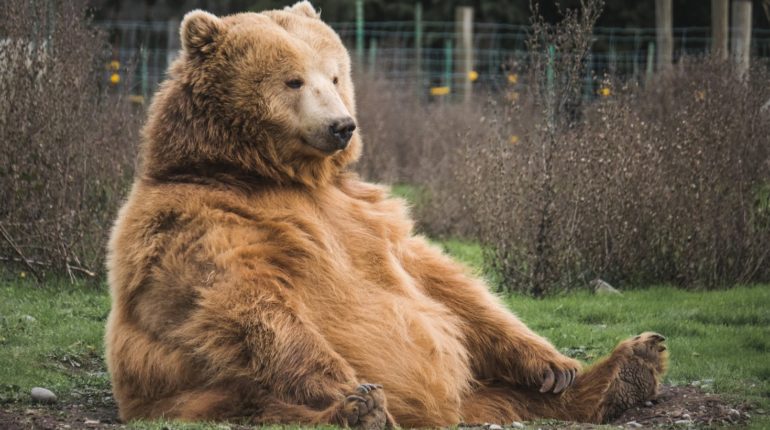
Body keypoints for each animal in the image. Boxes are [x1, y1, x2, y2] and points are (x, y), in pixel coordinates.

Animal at [104, 2, 668, 427]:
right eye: (292, 81)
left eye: (334, 75)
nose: (342, 125)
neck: (273, 175)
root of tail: (444, 413)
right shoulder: (200, 221)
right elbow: (245, 302)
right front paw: (351, 389)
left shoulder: (365, 214)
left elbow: (443, 282)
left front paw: (553, 364)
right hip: (199, 392)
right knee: (262, 402)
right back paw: (360, 411)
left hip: (479, 389)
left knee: (512, 395)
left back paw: (627, 369)